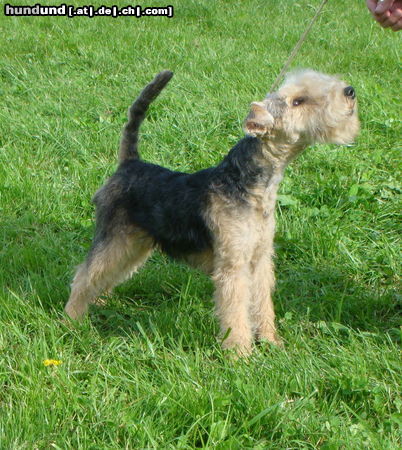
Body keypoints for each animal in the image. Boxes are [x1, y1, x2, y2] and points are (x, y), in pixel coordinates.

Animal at [64, 69, 360, 356]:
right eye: (297, 101)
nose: (350, 91)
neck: (248, 185)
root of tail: (129, 164)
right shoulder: (233, 266)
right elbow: (236, 312)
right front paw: (240, 353)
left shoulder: (260, 259)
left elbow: (262, 304)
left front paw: (270, 341)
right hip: (115, 238)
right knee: (83, 275)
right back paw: (72, 320)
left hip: (135, 245)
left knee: (104, 275)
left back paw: (98, 302)